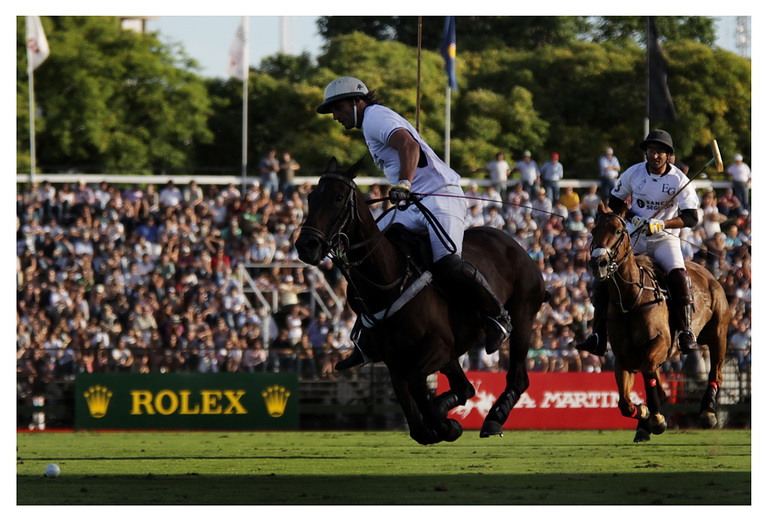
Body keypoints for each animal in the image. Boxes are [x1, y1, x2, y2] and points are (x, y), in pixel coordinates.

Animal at [295, 158, 548, 445]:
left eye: (338, 197)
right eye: (310, 197)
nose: (306, 245)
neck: (388, 278)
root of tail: (515, 244)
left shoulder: (438, 346)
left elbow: (417, 383)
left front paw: (447, 426)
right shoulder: (395, 360)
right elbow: (415, 419)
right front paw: (438, 421)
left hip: (523, 316)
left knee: (517, 378)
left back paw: (493, 418)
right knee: (465, 387)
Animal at [588, 203, 730, 442]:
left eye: (618, 231)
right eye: (593, 231)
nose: (599, 263)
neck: (630, 299)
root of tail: (708, 273)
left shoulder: (660, 343)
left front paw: (655, 418)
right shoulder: (623, 357)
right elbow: (624, 403)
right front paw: (646, 413)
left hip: (718, 333)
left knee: (717, 372)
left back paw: (708, 412)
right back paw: (644, 427)